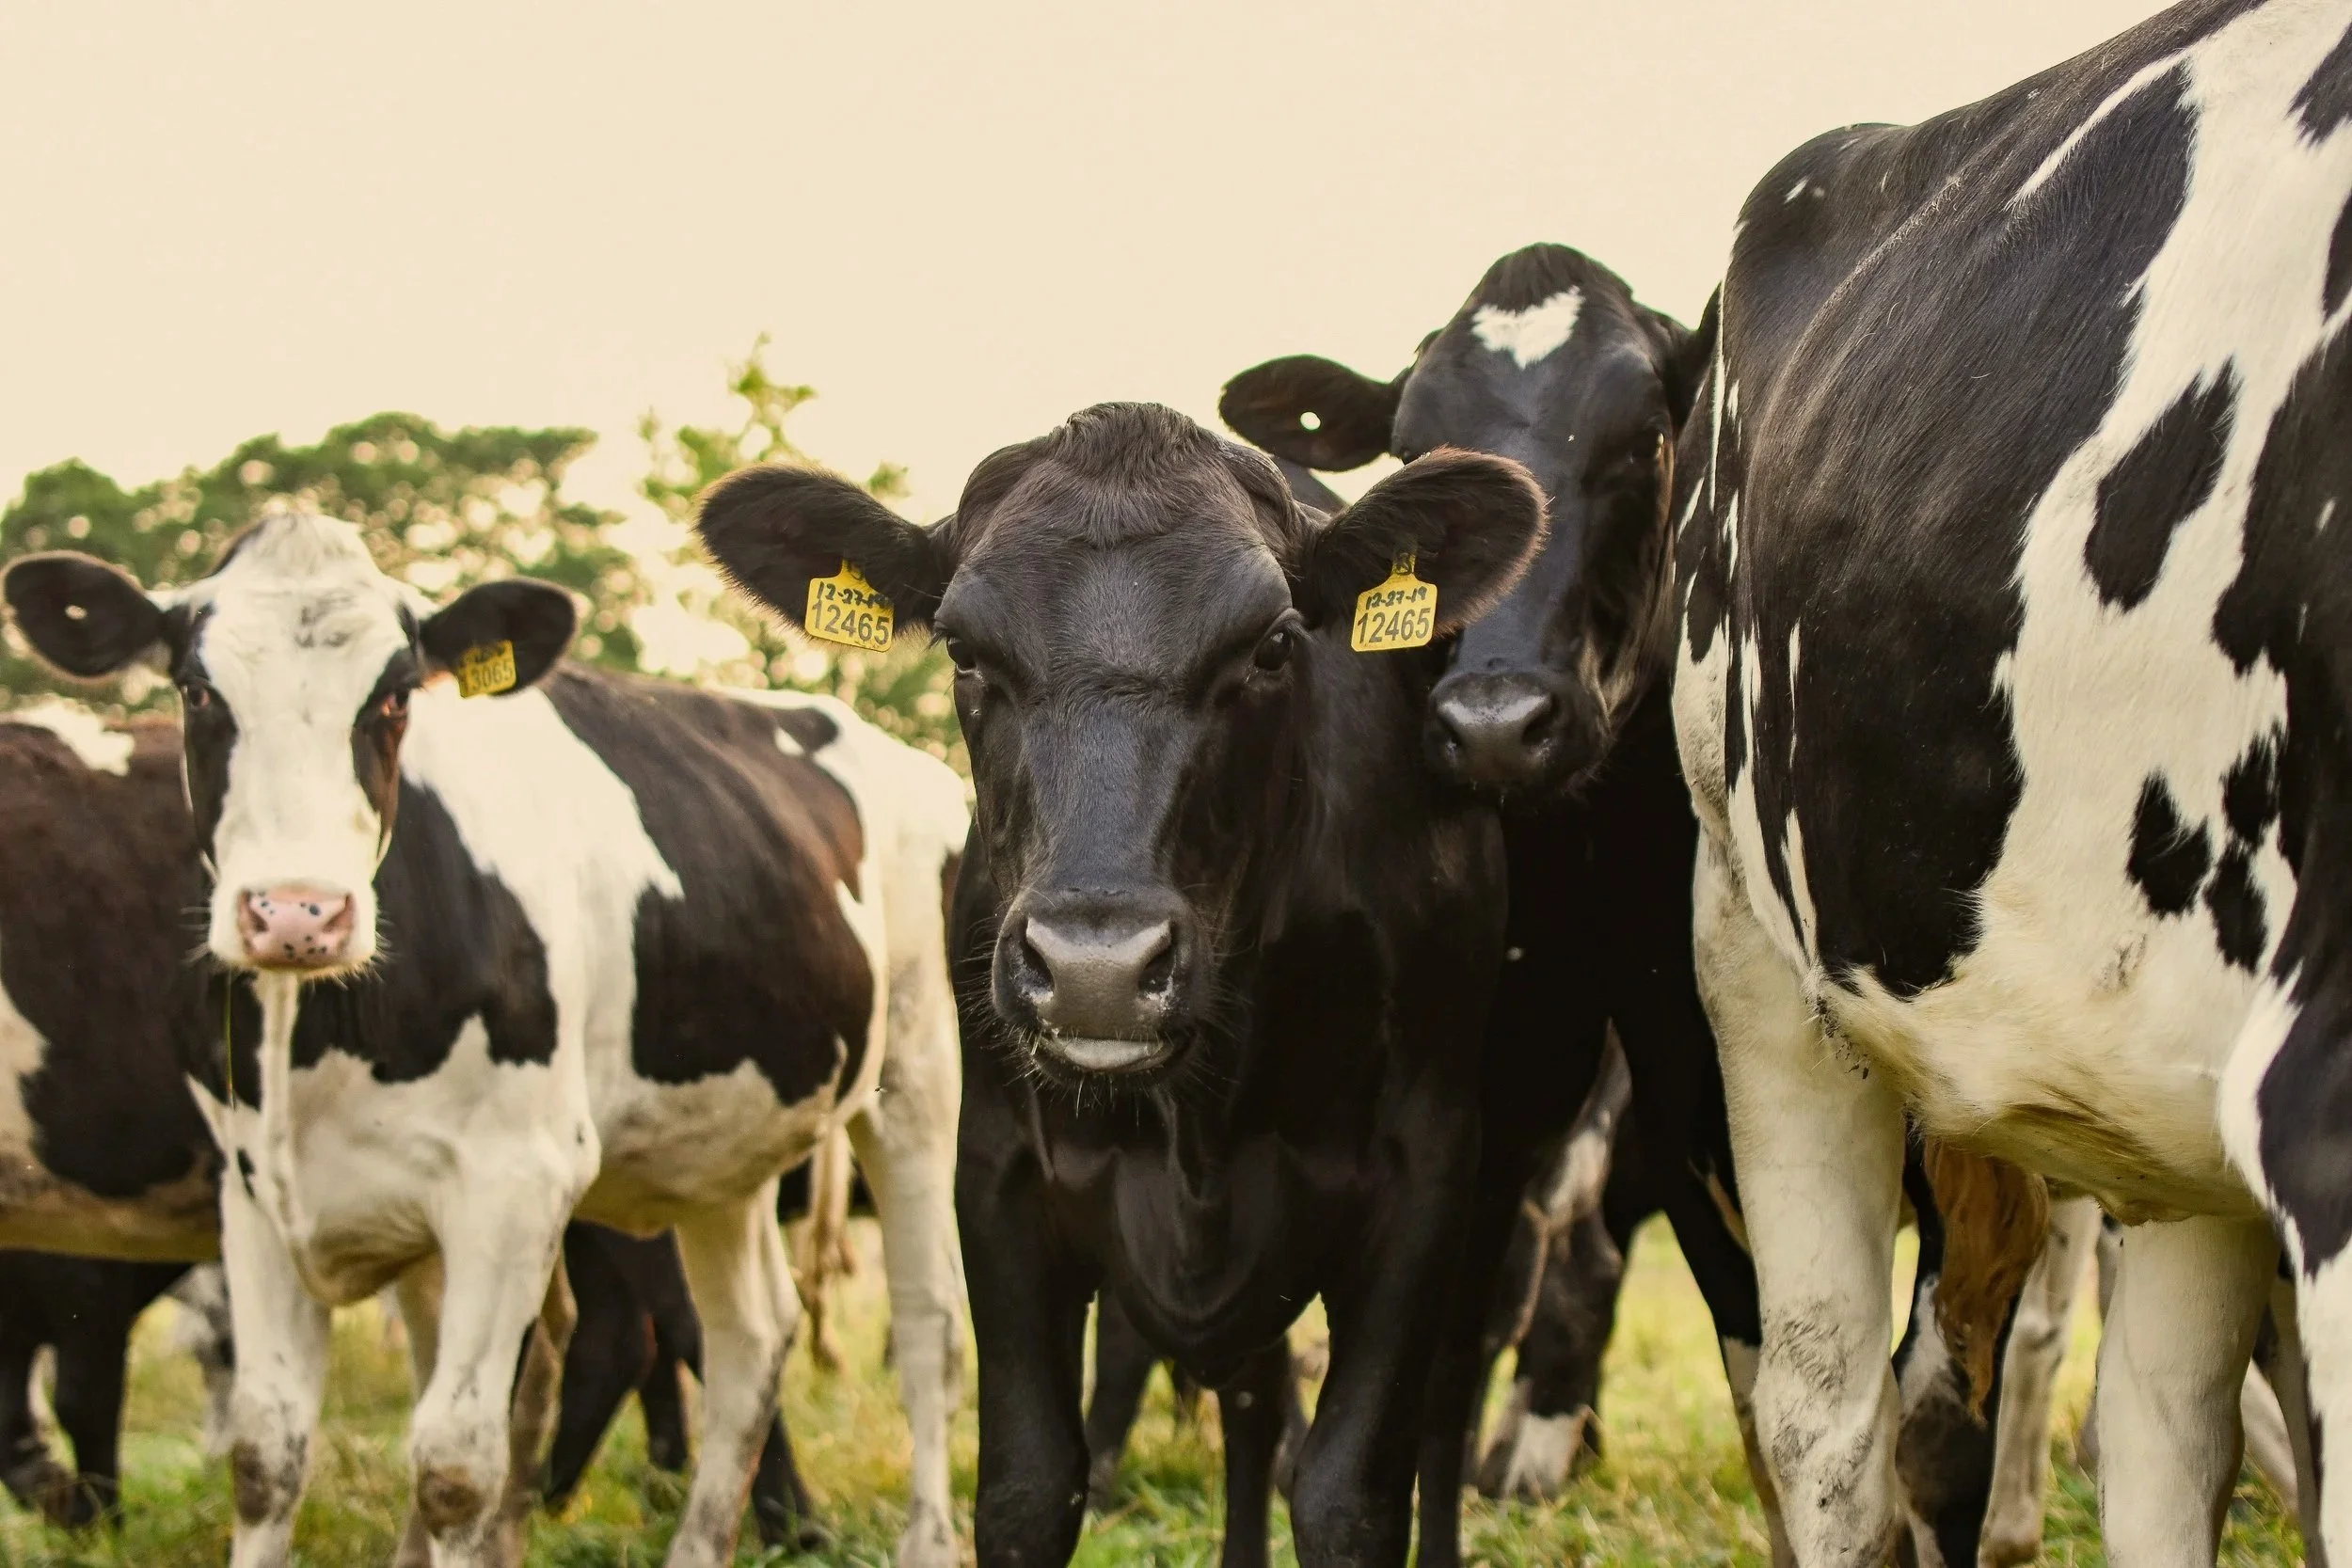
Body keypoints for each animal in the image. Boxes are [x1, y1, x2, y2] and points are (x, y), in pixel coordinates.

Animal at [2, 514, 970, 1568]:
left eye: (392, 696)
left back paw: (928, 1536)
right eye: (197, 689)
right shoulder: (253, 1190)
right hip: (720, 1141)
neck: (324, 1033)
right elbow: (265, 1454)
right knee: (749, 1336)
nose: (297, 912)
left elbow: (457, 1465)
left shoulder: (515, 1183)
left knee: (928, 1323)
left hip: (919, 1079)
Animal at [695, 401, 1547, 1567]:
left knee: (1435, 1398)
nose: (1094, 969)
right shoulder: (997, 1168)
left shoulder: (1427, 1167)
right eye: (963, 649)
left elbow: (1352, 1492)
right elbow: (1028, 1484)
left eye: (1273, 645)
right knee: (1252, 1403)